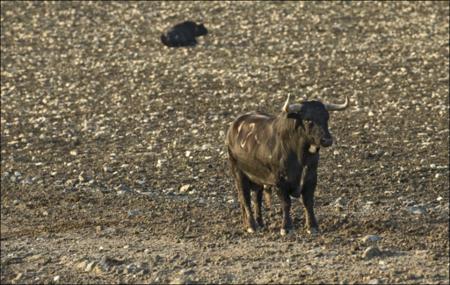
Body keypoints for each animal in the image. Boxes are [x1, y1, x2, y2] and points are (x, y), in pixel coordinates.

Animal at [227, 94, 350, 234]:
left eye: (326, 117)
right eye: (308, 120)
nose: (327, 140)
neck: (300, 157)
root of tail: (234, 126)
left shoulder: (311, 178)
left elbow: (308, 202)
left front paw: (312, 226)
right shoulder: (280, 181)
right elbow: (286, 203)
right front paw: (286, 227)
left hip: (257, 178)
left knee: (257, 199)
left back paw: (260, 223)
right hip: (239, 174)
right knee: (245, 199)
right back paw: (251, 226)